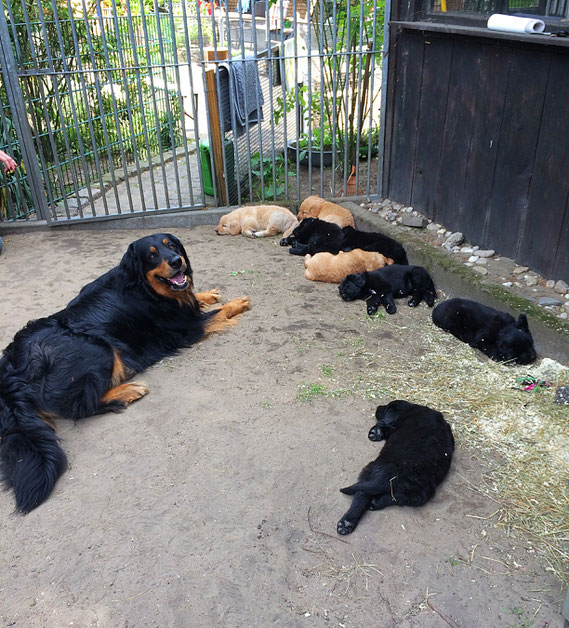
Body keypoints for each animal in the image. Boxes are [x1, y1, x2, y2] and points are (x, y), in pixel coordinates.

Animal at [0, 233, 250, 512]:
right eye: (152, 255)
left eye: (172, 245)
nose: (177, 261)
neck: (145, 288)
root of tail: (9, 369)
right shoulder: (188, 328)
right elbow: (217, 314)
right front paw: (237, 303)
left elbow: (196, 299)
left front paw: (208, 294)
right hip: (98, 347)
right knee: (82, 407)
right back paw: (129, 390)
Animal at [280, 217, 408, 266]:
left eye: (301, 225)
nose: (294, 230)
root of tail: (402, 252)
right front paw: (286, 240)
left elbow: (302, 241)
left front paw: (290, 241)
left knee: (307, 249)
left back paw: (294, 247)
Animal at [338, 402, 452, 536]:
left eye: (386, 407)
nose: (378, 407)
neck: (411, 409)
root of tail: (397, 474)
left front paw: (376, 431)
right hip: (420, 491)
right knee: (400, 497)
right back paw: (376, 503)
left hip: (370, 470)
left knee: (361, 495)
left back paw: (347, 522)